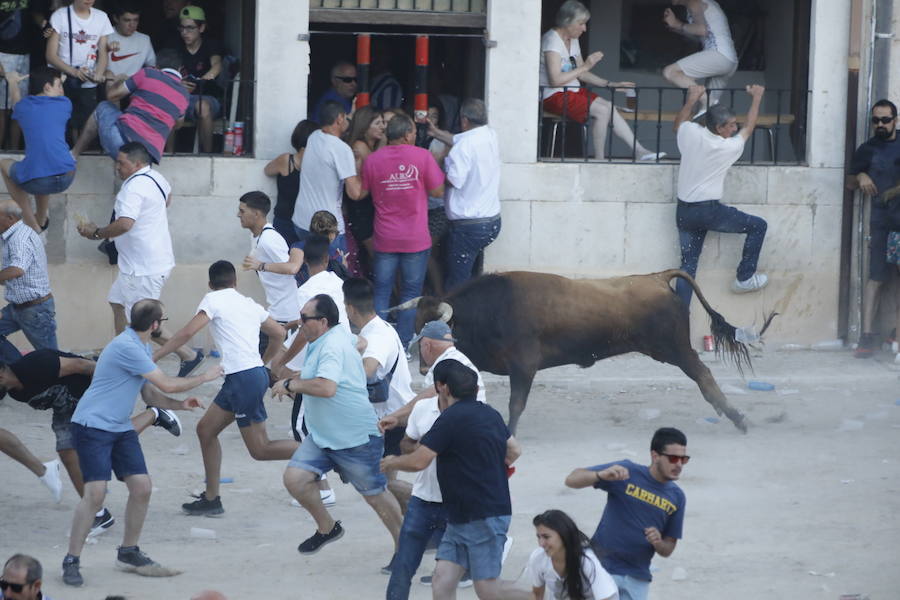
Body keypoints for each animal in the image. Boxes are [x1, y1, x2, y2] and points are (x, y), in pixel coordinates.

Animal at [394, 270, 752, 434]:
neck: (490, 309)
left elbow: (516, 403)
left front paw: (509, 433)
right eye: (416, 326)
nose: (423, 368)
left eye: (430, 331)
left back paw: (736, 417)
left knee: (703, 374)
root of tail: (658, 278)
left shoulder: (523, 366)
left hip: (675, 348)